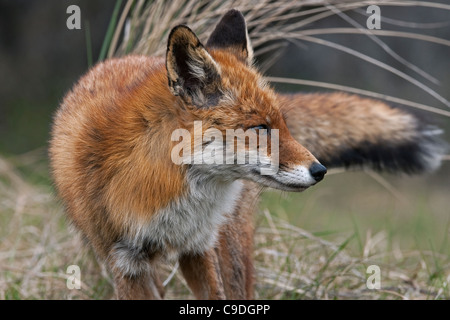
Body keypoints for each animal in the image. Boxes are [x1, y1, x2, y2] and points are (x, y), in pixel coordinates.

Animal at [49, 10, 442, 300]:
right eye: (260, 128)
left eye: (282, 124)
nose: (320, 170)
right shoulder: (125, 262)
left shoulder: (199, 247)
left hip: (230, 243)